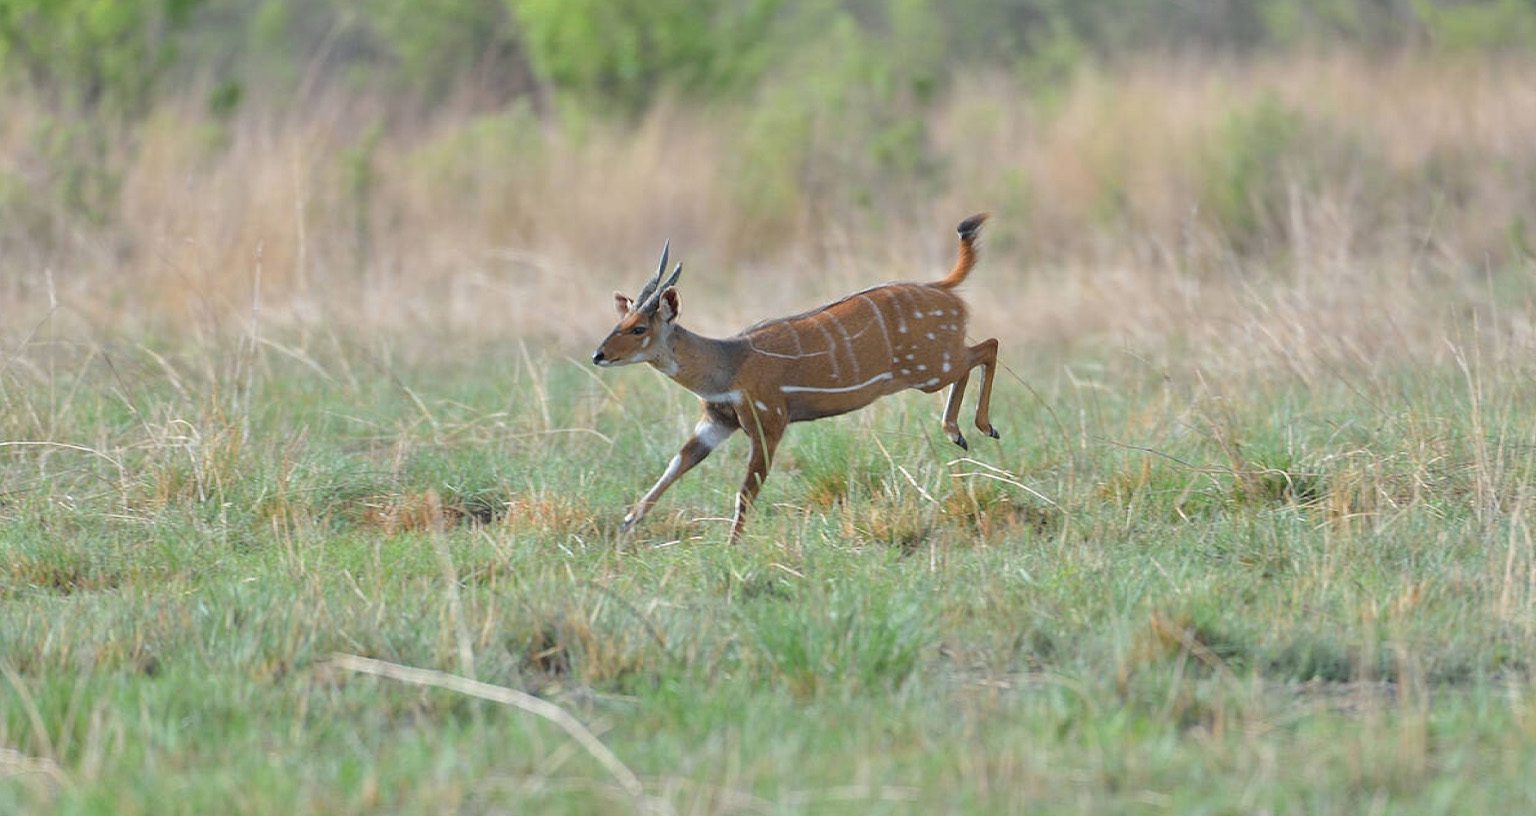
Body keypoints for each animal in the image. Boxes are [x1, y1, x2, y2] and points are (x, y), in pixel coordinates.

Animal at [592, 214, 999, 542]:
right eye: (620, 321)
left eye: (639, 327)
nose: (598, 355)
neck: (728, 363)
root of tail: (942, 287)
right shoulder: (716, 422)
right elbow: (676, 464)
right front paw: (627, 523)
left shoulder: (769, 423)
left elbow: (746, 491)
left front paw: (731, 548)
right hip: (932, 370)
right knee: (977, 354)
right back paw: (958, 433)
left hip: (929, 369)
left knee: (987, 347)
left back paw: (976, 428)